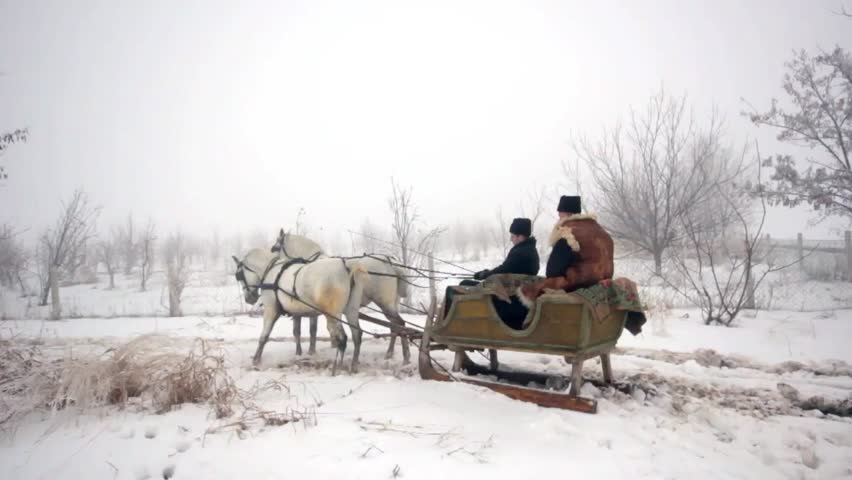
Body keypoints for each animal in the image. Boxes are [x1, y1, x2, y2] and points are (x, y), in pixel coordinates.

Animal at [232, 247, 368, 373]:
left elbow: (264, 335)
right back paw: (354, 365)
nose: (249, 298)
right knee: (357, 335)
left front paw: (256, 359)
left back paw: (337, 367)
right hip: (351, 310)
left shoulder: (271, 309)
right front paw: (299, 353)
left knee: (342, 338)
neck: (272, 272)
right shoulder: (296, 313)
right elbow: (297, 332)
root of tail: (347, 266)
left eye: (238, 275)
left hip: (332, 314)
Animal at [271, 229, 412, 364]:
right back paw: (390, 353)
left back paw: (405, 356)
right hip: (392, 303)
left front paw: (308, 351)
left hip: (384, 302)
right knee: (395, 326)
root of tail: (391, 262)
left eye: (276, 247)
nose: (272, 262)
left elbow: (307, 330)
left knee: (399, 324)